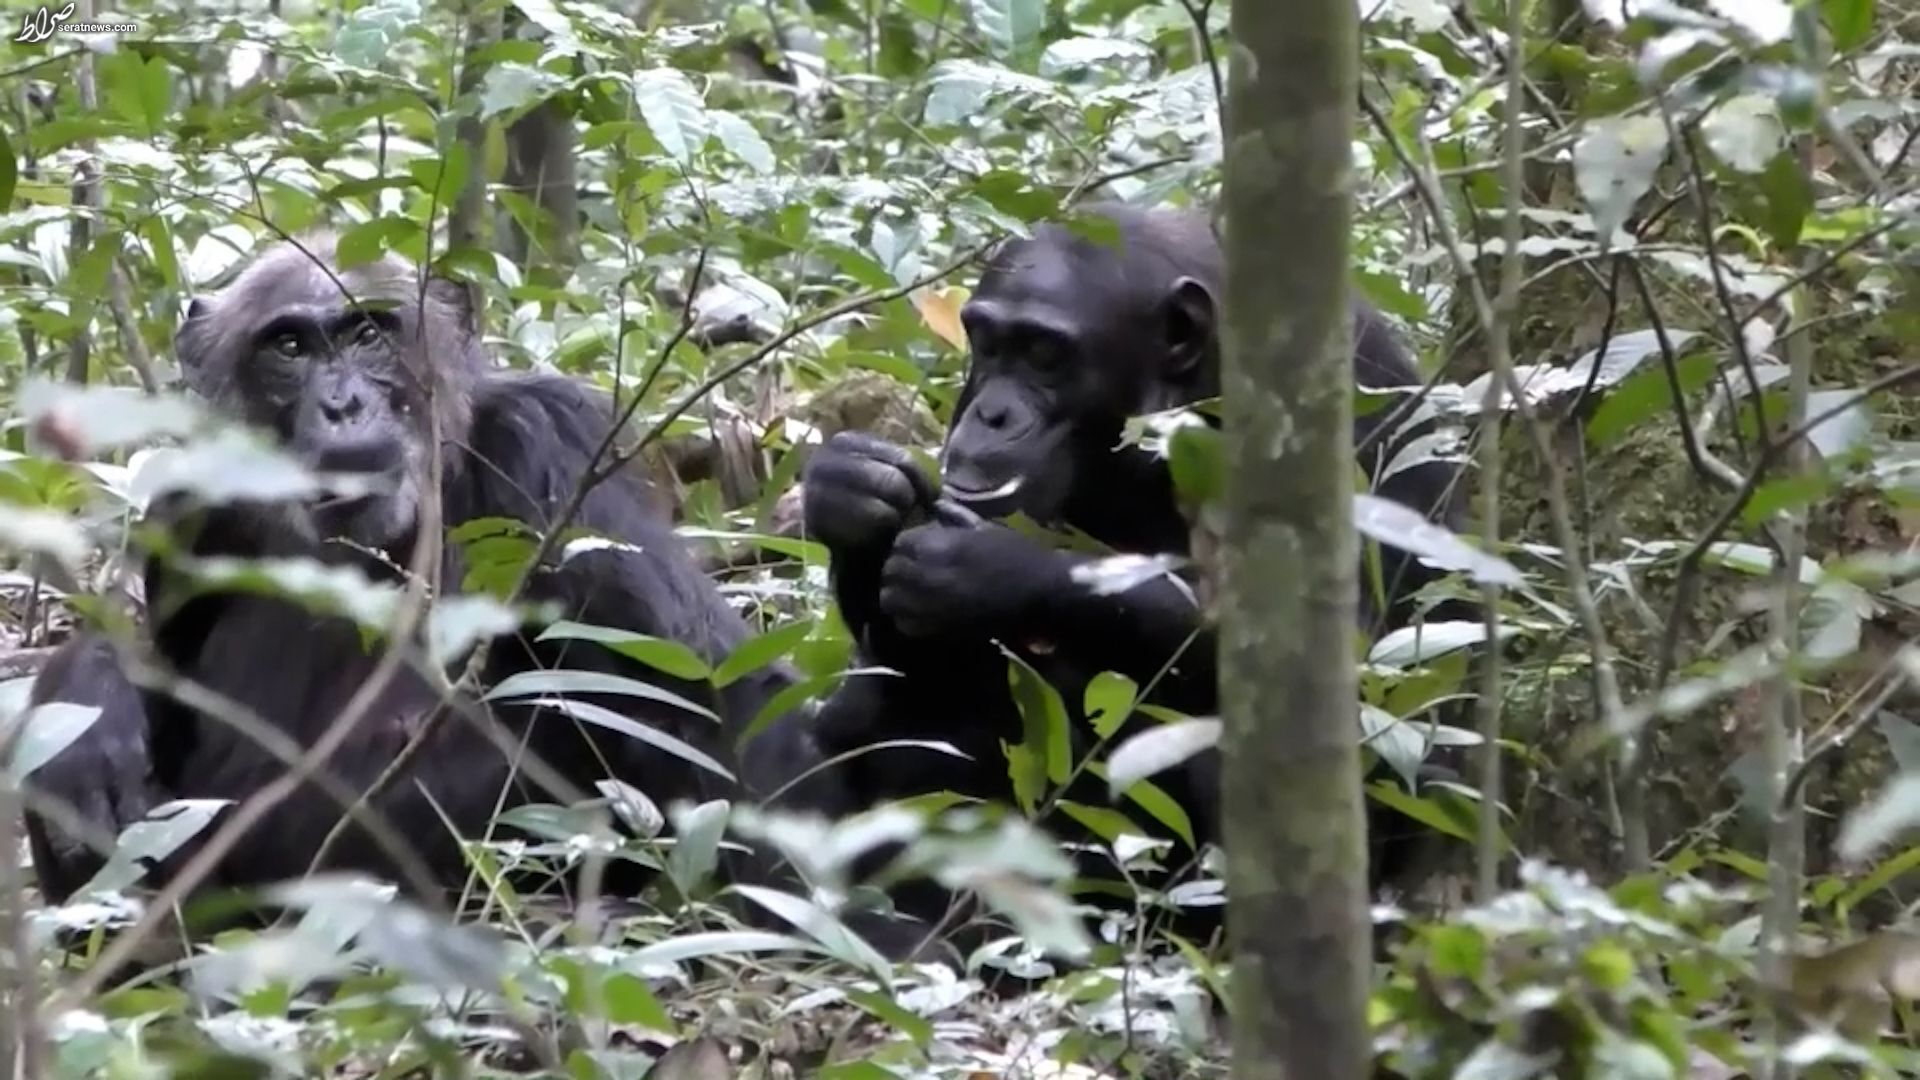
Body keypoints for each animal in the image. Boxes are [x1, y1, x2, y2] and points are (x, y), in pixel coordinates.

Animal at [26, 237, 840, 907]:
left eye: (369, 333)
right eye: (289, 346)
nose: (342, 404)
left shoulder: (552, 443)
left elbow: (704, 696)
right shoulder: (189, 501)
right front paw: (89, 713)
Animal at [802, 201, 1459, 941]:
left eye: (1046, 355)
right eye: (989, 345)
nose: (991, 413)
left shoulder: (1354, 404)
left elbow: (1371, 669)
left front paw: (988, 571)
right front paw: (854, 491)